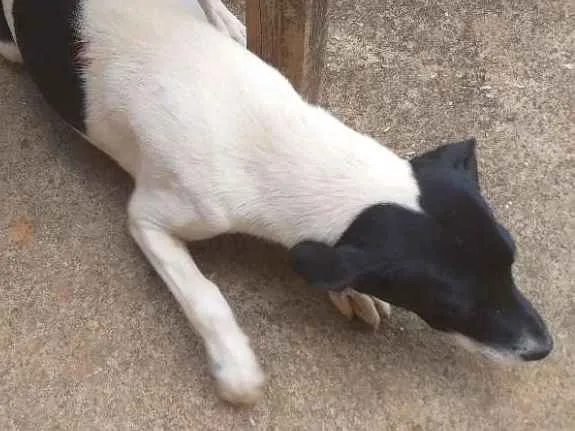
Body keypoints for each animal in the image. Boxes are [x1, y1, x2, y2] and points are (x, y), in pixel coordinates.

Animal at [2, 0, 556, 404]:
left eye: (510, 259)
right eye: (451, 305)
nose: (544, 348)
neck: (280, 143)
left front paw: (350, 293)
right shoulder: (150, 219)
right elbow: (206, 297)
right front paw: (237, 370)